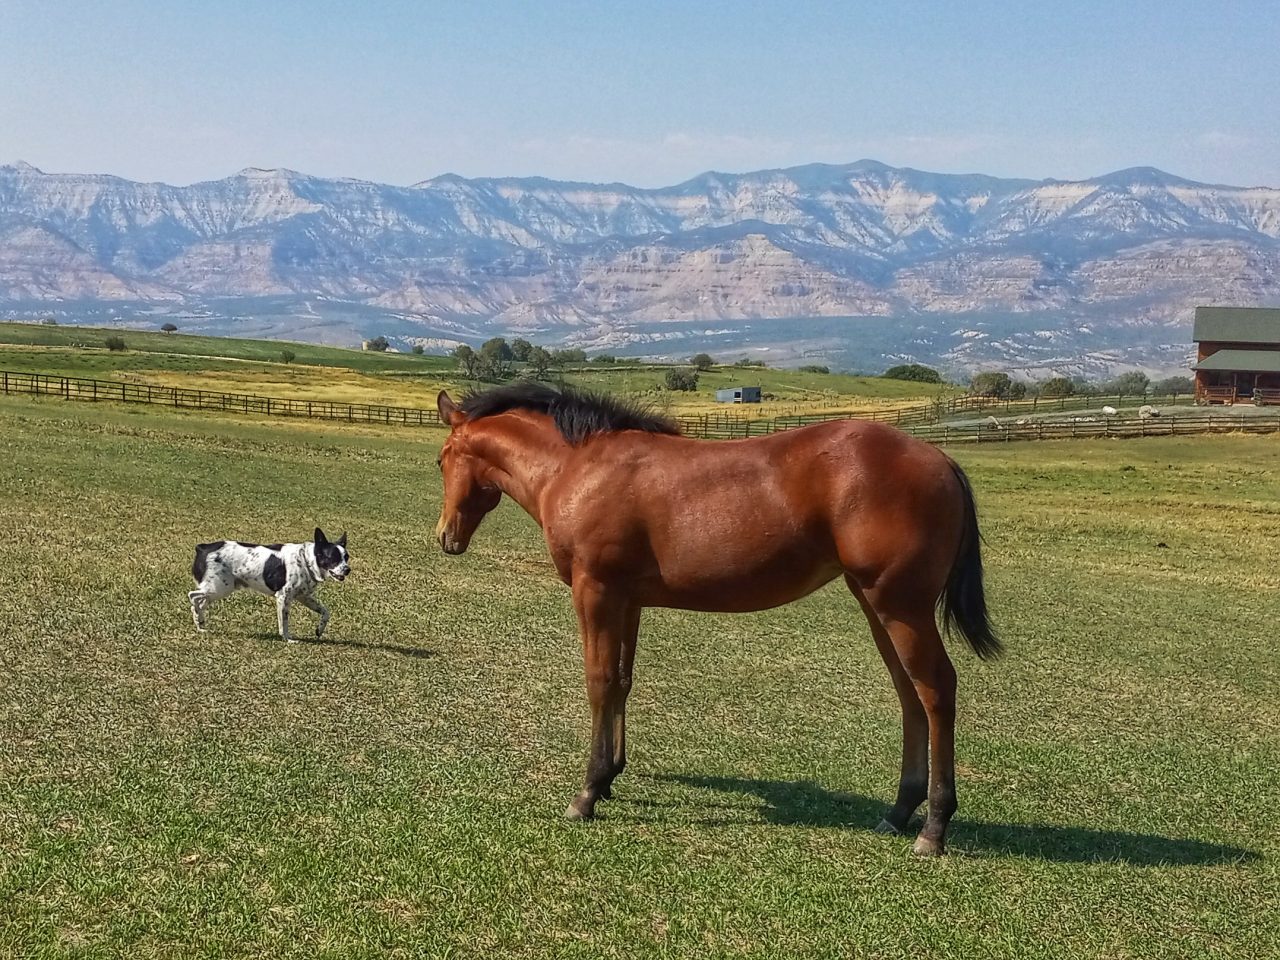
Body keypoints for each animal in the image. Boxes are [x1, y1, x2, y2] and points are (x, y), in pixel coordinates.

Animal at [433, 382, 1001, 856]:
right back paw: (900, 811)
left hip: (900, 607)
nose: (446, 536)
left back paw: (934, 827)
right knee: (909, 695)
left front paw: (588, 792)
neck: (581, 467)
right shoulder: (627, 600)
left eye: (441, 460)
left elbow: (598, 682)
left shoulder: (595, 592)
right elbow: (622, 682)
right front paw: (611, 776)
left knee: (935, 691)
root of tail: (940, 459)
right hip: (876, 604)